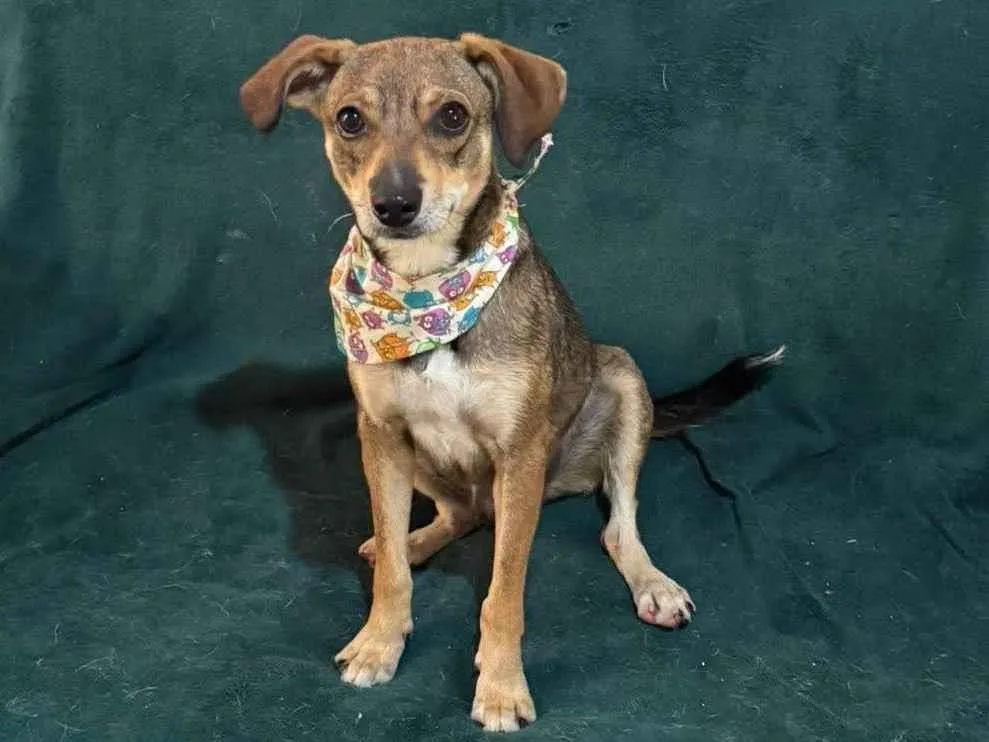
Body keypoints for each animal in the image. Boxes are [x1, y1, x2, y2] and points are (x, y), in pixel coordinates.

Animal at [240, 33, 782, 732]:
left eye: (452, 116)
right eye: (350, 119)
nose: (394, 205)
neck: (428, 294)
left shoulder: (520, 453)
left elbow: (505, 594)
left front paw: (500, 687)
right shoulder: (380, 434)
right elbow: (393, 574)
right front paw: (381, 639)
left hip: (620, 380)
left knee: (615, 527)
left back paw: (653, 585)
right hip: (413, 458)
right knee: (459, 515)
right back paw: (411, 542)